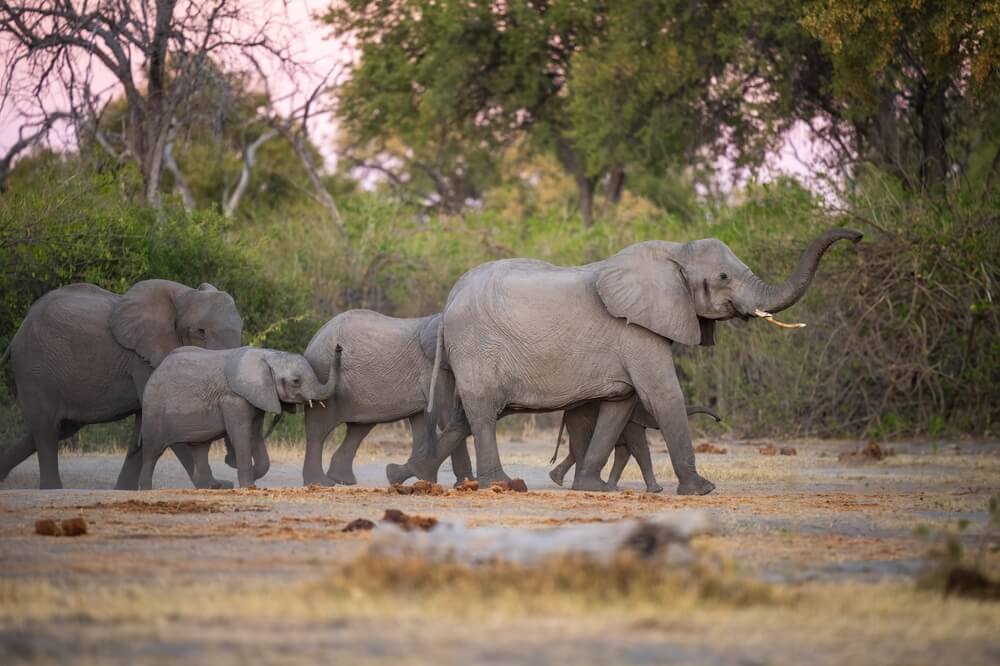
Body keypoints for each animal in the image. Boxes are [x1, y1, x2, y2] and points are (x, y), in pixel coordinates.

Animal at [0, 280, 243, 489]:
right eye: (200, 332)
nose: (230, 462)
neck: (185, 294)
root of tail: (18, 334)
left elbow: (145, 427)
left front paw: (123, 490)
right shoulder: (143, 359)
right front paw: (217, 486)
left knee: (57, 428)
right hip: (35, 369)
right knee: (46, 429)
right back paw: (52, 489)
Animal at [139, 346, 340, 489]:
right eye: (296, 382)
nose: (339, 348)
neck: (268, 355)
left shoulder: (258, 396)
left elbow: (254, 434)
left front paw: (251, 477)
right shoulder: (234, 398)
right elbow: (241, 434)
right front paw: (248, 485)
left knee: (201, 448)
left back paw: (215, 486)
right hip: (154, 408)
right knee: (152, 451)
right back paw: (145, 489)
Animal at [301, 310, 472, 487]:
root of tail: (316, 336)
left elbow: (420, 421)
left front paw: (425, 480)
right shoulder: (433, 369)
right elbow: (445, 412)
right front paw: (462, 483)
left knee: (359, 429)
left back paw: (343, 480)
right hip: (324, 372)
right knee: (319, 429)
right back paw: (320, 483)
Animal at [548, 402, 721, 493]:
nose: (718, 419)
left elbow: (624, 452)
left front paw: (612, 488)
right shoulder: (631, 422)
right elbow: (638, 448)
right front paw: (657, 490)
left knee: (575, 449)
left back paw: (556, 479)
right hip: (577, 422)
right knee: (580, 446)